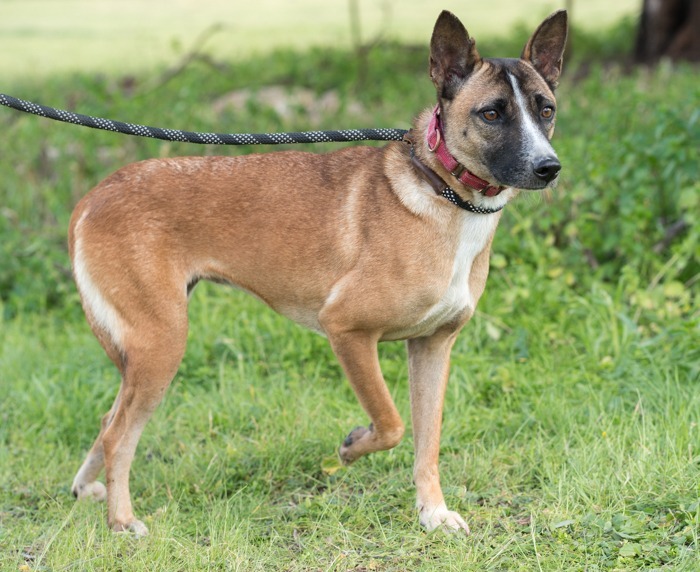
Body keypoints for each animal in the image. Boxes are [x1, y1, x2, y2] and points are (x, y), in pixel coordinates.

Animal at [67, 10, 568, 536]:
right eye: (491, 114)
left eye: (546, 110)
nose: (549, 168)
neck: (442, 191)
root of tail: (94, 196)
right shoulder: (345, 329)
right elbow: (391, 423)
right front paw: (353, 447)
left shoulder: (432, 346)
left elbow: (426, 443)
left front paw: (432, 512)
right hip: (162, 344)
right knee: (119, 435)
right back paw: (122, 521)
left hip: (143, 352)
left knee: (106, 422)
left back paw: (87, 489)